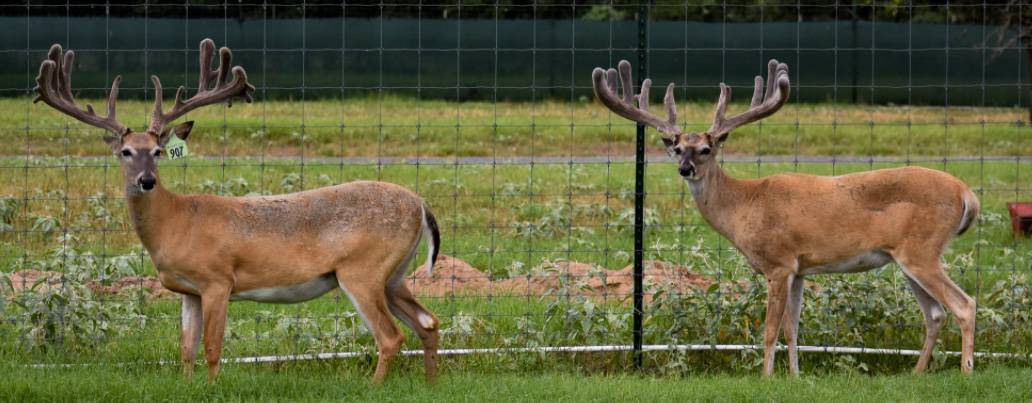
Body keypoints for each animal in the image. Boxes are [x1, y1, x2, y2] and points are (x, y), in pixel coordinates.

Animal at [34, 39, 442, 384]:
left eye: (158, 151)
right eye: (125, 152)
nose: (146, 181)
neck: (175, 223)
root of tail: (421, 204)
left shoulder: (218, 280)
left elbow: (212, 347)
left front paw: (212, 389)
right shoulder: (188, 290)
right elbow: (186, 348)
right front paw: (189, 387)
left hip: (362, 270)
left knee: (391, 336)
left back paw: (374, 386)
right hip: (393, 275)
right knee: (428, 322)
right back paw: (429, 383)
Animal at [592, 59, 979, 376]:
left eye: (705, 149)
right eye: (676, 148)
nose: (685, 169)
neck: (745, 205)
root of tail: (966, 193)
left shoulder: (777, 263)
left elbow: (769, 330)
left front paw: (766, 378)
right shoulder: (800, 268)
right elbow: (793, 329)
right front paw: (793, 376)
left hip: (922, 250)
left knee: (964, 305)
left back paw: (966, 371)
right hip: (905, 258)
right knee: (935, 313)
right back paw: (916, 372)